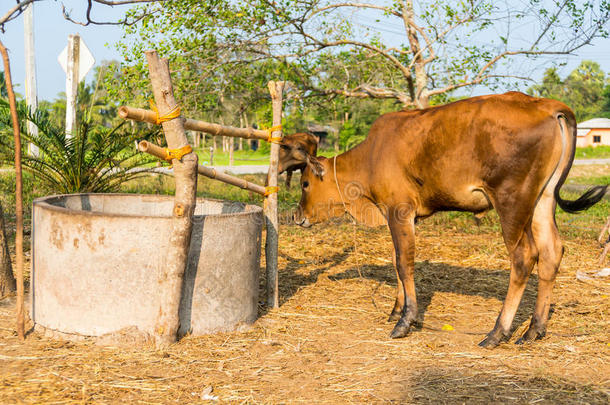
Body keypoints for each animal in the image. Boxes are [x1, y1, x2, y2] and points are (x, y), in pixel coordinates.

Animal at [290, 92, 604, 348]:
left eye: (305, 183)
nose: (296, 215)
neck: (370, 158)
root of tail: (548, 106)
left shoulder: (399, 210)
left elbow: (404, 263)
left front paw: (405, 321)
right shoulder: (402, 216)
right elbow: (396, 261)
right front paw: (396, 309)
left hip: (512, 201)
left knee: (524, 257)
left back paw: (497, 332)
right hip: (543, 199)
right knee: (552, 252)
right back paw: (534, 330)